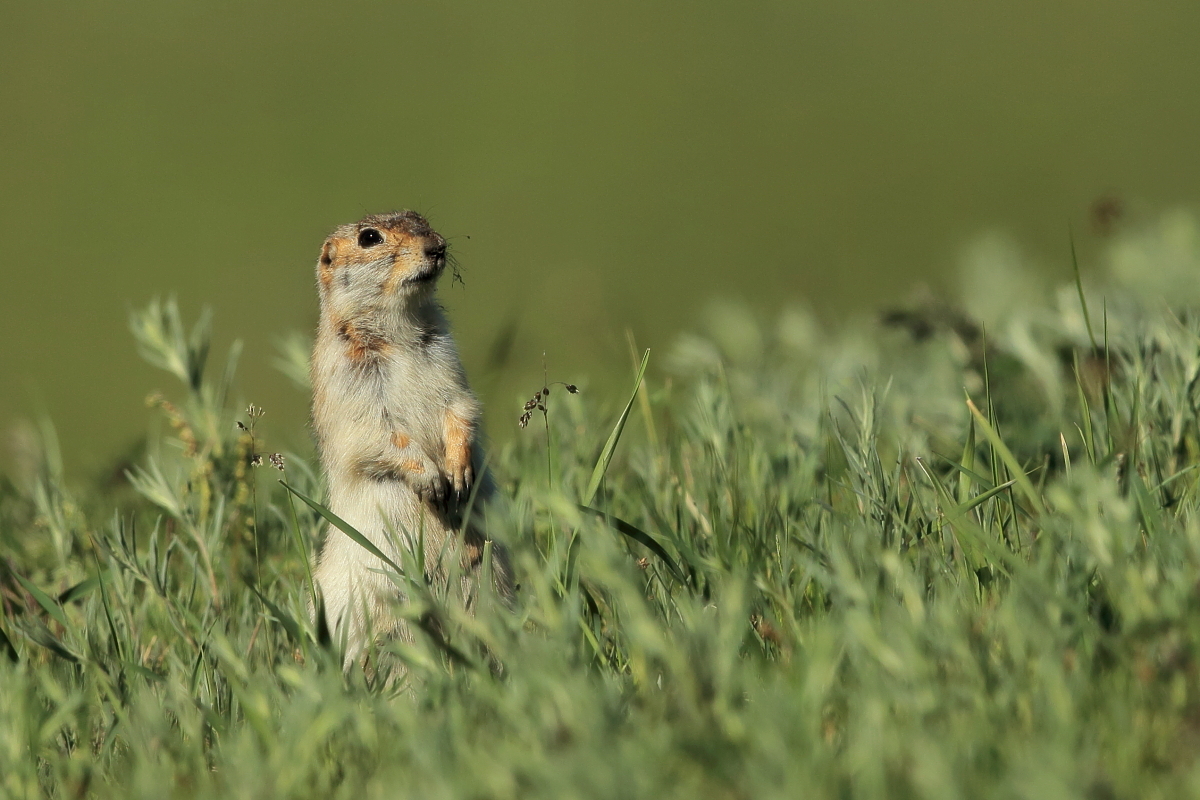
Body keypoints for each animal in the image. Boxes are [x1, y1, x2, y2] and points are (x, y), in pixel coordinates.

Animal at [309, 210, 513, 664]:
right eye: (369, 238)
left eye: (421, 218)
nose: (437, 246)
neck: (396, 333)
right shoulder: (350, 381)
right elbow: (380, 434)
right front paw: (434, 481)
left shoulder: (448, 360)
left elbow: (460, 407)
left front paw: (459, 472)